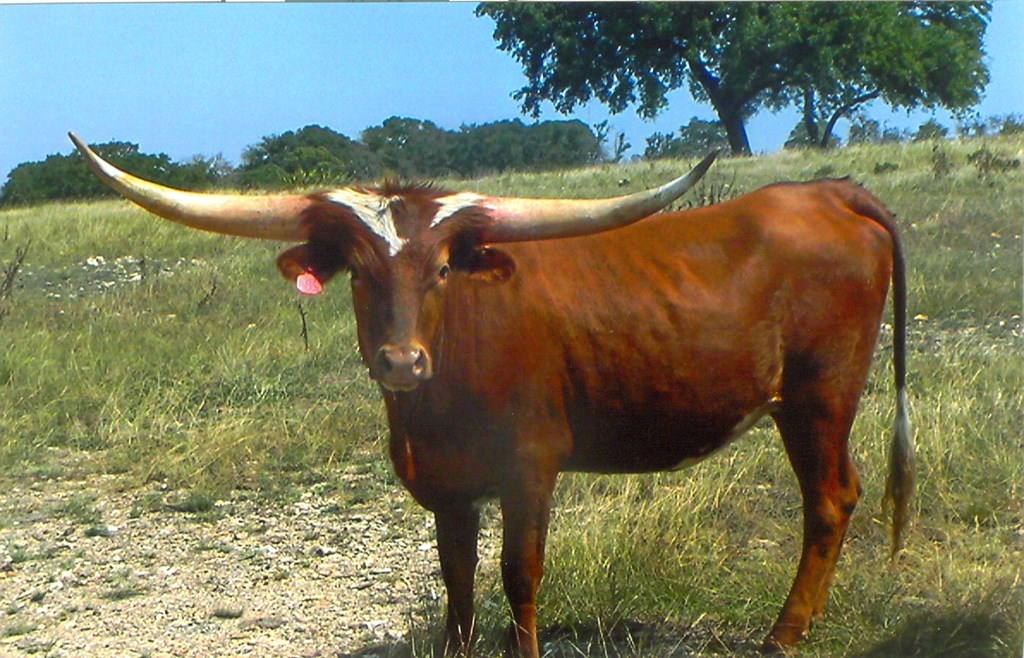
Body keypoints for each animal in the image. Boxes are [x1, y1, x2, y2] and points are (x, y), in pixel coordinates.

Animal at [70, 132, 912, 656]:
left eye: (443, 268)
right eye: (358, 272)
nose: (402, 361)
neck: (434, 408)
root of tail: (829, 193)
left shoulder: (529, 471)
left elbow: (519, 578)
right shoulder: (449, 487)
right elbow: (457, 584)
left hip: (819, 398)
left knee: (830, 500)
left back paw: (783, 634)